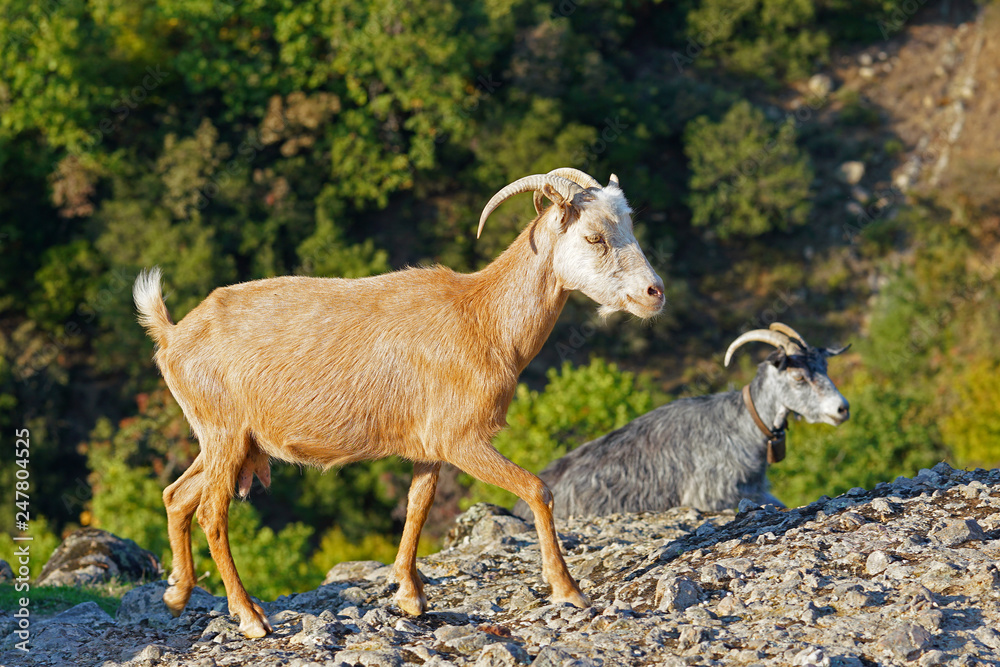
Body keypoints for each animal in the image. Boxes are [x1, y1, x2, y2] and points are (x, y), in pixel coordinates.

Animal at [134, 168, 665, 638]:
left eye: (631, 227)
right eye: (594, 237)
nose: (654, 292)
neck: (484, 320)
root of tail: (172, 334)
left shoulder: (428, 448)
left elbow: (417, 506)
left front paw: (410, 596)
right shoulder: (462, 440)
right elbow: (538, 489)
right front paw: (569, 590)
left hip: (227, 440)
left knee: (176, 495)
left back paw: (177, 594)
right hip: (224, 434)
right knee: (211, 514)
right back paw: (249, 618)